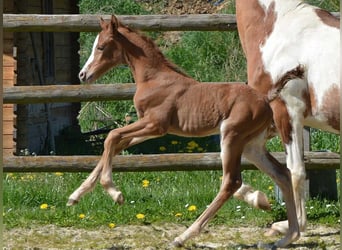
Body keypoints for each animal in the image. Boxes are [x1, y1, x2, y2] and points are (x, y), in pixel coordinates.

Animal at [69, 15, 302, 248]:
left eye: (100, 46)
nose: (83, 74)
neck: (153, 79)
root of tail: (265, 99)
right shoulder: (151, 129)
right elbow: (115, 145)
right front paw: (76, 195)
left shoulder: (155, 123)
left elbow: (111, 136)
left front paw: (115, 193)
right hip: (251, 145)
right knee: (282, 173)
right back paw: (287, 236)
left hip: (231, 136)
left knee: (231, 181)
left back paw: (183, 236)